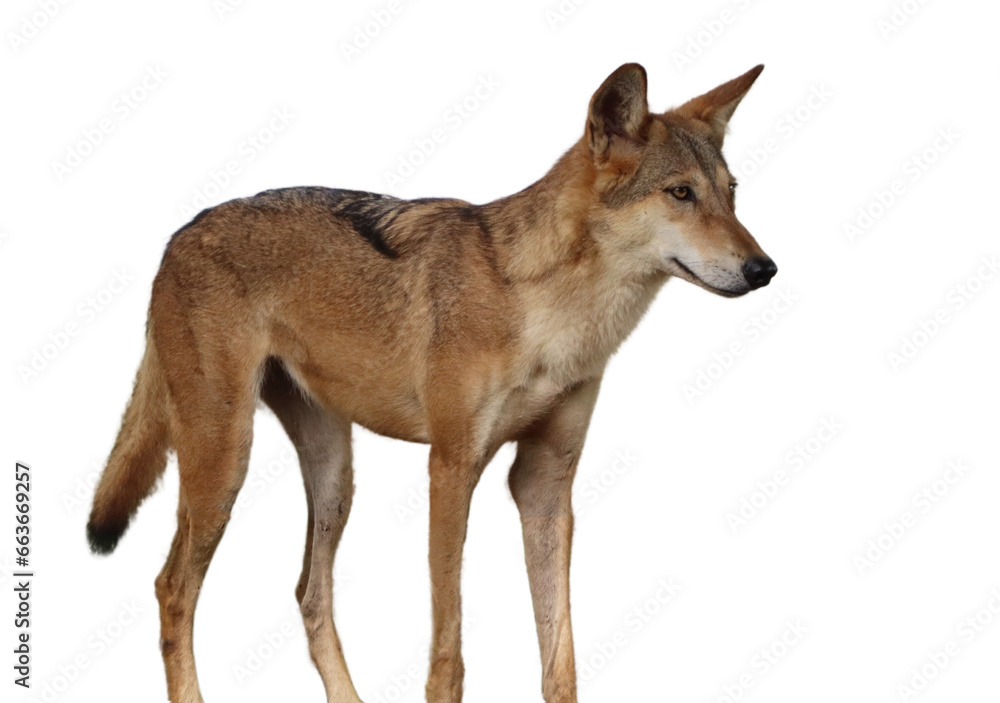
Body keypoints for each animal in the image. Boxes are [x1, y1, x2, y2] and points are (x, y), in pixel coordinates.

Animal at [87, 62, 776, 703]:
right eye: (680, 193)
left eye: (732, 194)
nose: (764, 268)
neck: (552, 314)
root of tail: (179, 234)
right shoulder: (451, 467)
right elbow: (449, 651)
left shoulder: (545, 482)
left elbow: (560, 660)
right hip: (225, 462)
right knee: (173, 588)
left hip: (335, 478)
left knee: (310, 593)